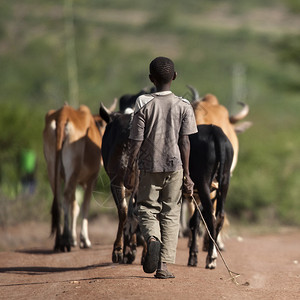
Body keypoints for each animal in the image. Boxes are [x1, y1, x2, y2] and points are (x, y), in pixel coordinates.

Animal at [43, 103, 111, 251]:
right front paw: (83, 240)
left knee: (58, 200)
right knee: (65, 198)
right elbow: (85, 206)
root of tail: (62, 115)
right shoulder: (91, 179)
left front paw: (73, 238)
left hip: (53, 169)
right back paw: (65, 240)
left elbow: (75, 207)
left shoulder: (73, 179)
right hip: (72, 170)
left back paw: (59, 241)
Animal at [186, 124, 233, 270]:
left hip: (203, 183)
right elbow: (195, 221)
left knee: (211, 218)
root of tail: (215, 131)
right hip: (225, 181)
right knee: (219, 216)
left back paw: (211, 258)